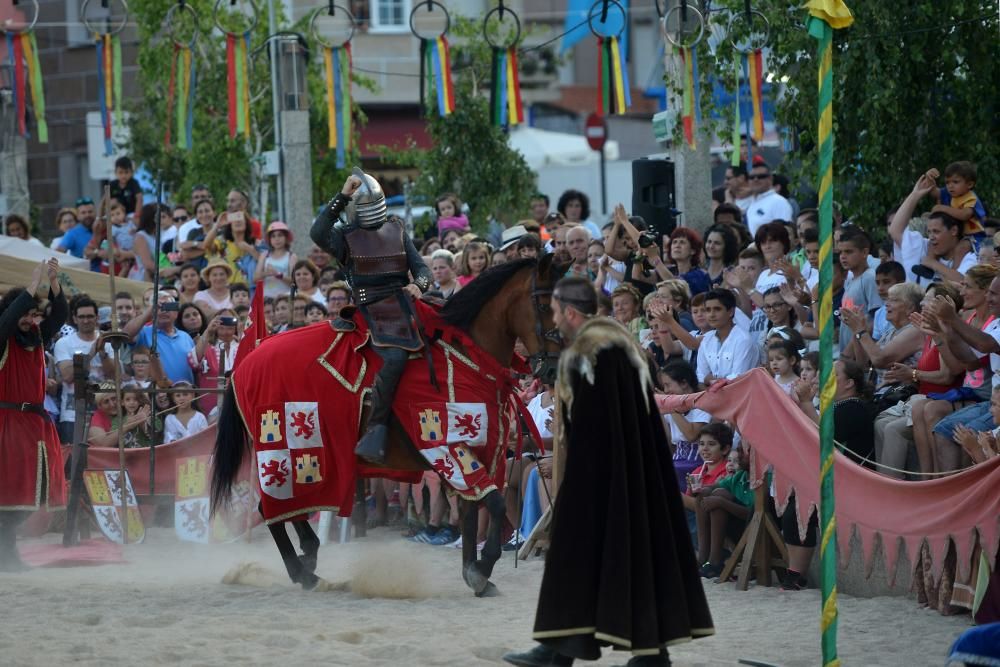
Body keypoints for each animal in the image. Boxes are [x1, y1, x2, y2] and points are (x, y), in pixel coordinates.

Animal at [212, 254, 568, 596]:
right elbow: (493, 503)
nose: (553, 370)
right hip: (288, 453)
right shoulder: (447, 447)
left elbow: (475, 512)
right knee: (272, 509)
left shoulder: (482, 451)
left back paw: (309, 558)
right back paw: (304, 571)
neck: (468, 356)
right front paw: (481, 571)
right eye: (545, 306)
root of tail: (247, 361)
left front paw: (474, 571)